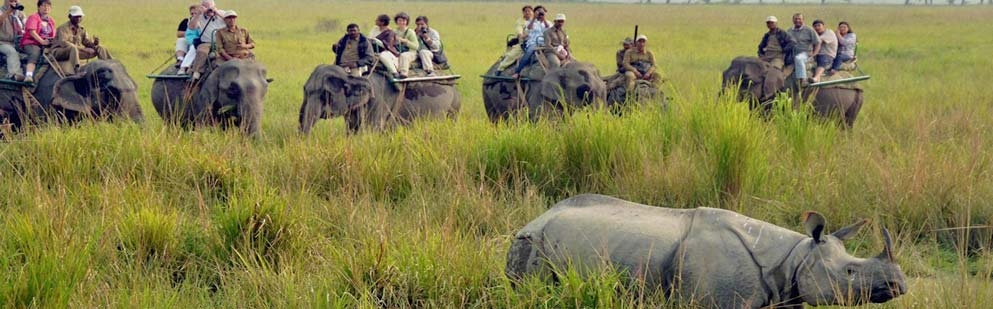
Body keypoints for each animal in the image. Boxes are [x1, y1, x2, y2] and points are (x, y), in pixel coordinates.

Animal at [298, 64, 462, 133]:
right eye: (305, 91)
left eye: (325, 94)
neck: (351, 75)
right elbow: (351, 130)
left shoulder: (379, 102)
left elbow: (370, 131)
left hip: (454, 108)